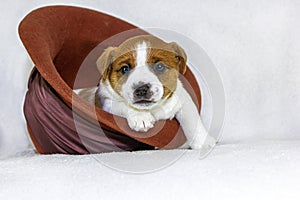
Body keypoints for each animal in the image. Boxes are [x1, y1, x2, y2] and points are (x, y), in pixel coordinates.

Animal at [75, 35, 216, 149]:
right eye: (125, 69)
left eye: (159, 67)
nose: (141, 89)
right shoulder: (107, 102)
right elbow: (123, 105)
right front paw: (141, 117)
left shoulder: (182, 98)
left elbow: (192, 119)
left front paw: (204, 142)